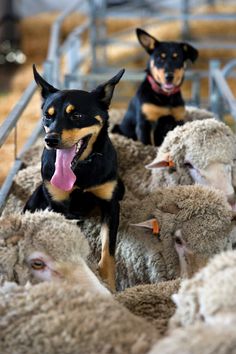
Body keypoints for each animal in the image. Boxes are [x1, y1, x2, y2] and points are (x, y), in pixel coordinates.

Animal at [24, 65, 125, 290]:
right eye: (47, 116)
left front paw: (109, 285)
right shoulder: (57, 205)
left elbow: (108, 252)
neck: (80, 169)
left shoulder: (110, 204)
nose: (50, 140)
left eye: (77, 115)